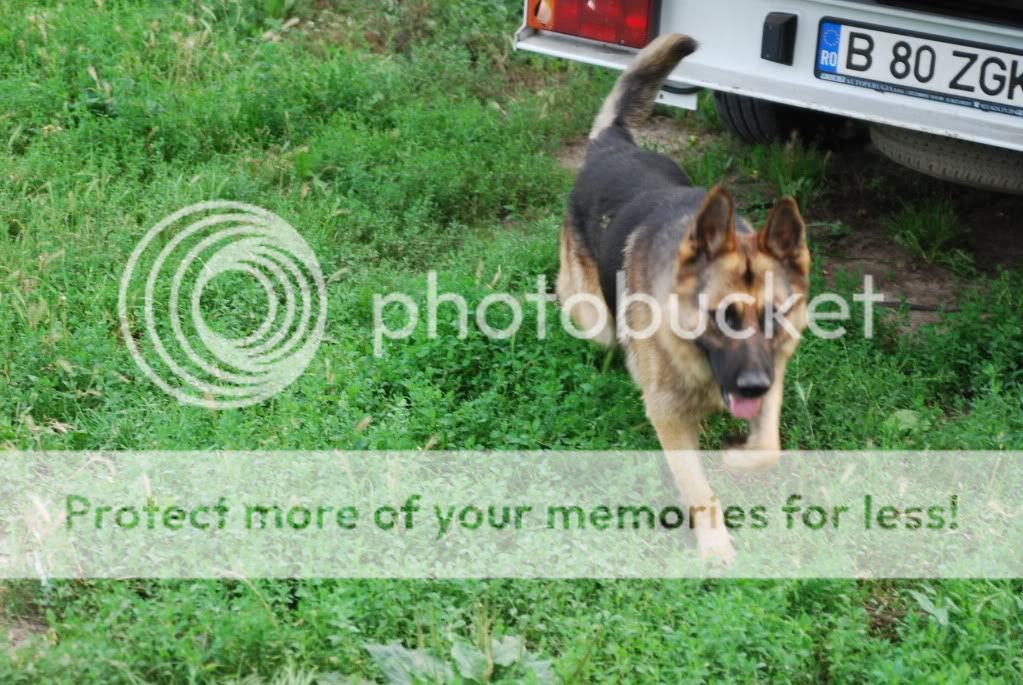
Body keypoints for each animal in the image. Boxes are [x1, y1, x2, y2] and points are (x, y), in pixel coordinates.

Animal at [556, 33, 810, 564]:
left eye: (775, 317)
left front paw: (739, 456)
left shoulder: (773, 375)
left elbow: (768, 447)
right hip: (594, 317)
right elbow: (697, 487)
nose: (752, 385)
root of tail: (612, 144)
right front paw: (715, 546)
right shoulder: (669, 419)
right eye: (723, 318)